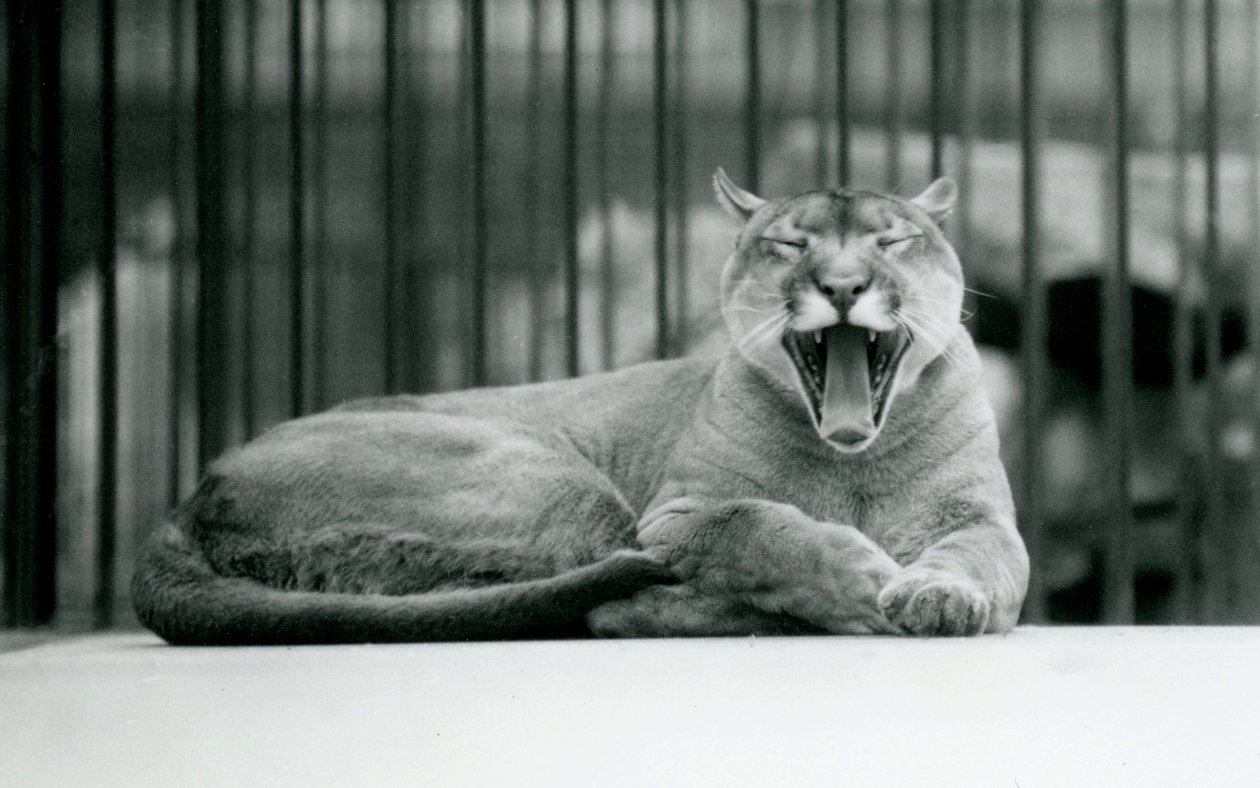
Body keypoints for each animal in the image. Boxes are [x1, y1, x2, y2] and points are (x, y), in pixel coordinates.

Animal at [132, 168, 1028, 643]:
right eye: (788, 243)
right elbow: (753, 523)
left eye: (892, 240)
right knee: (593, 596)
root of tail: (190, 495)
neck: (854, 463)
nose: (843, 284)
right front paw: (856, 575)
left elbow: (977, 557)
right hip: (552, 482)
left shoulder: (984, 522)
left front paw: (938, 596)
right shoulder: (675, 515)